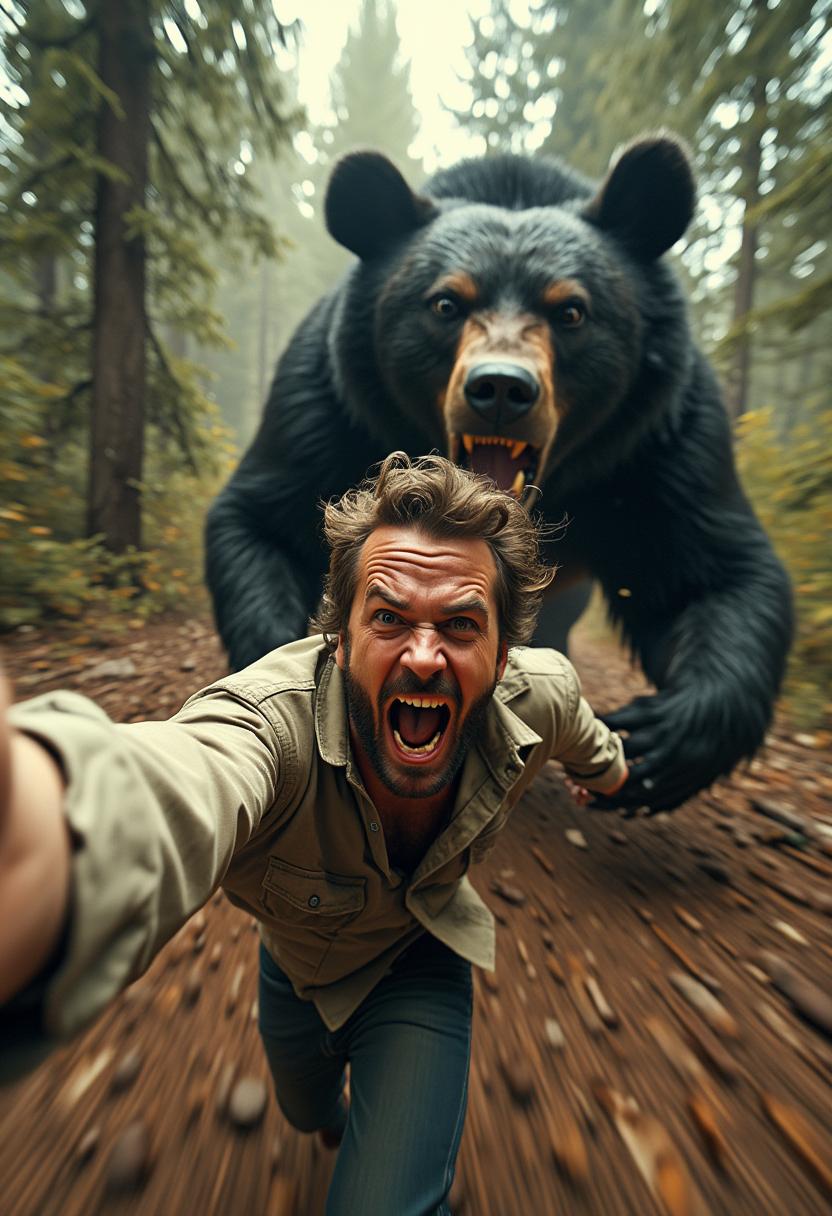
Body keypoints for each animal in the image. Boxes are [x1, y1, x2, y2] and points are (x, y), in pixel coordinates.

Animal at [205, 135, 793, 813]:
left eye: (571, 311)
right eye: (445, 302)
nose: (501, 388)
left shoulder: (656, 445)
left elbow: (713, 571)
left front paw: (658, 741)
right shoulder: (330, 407)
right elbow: (264, 517)